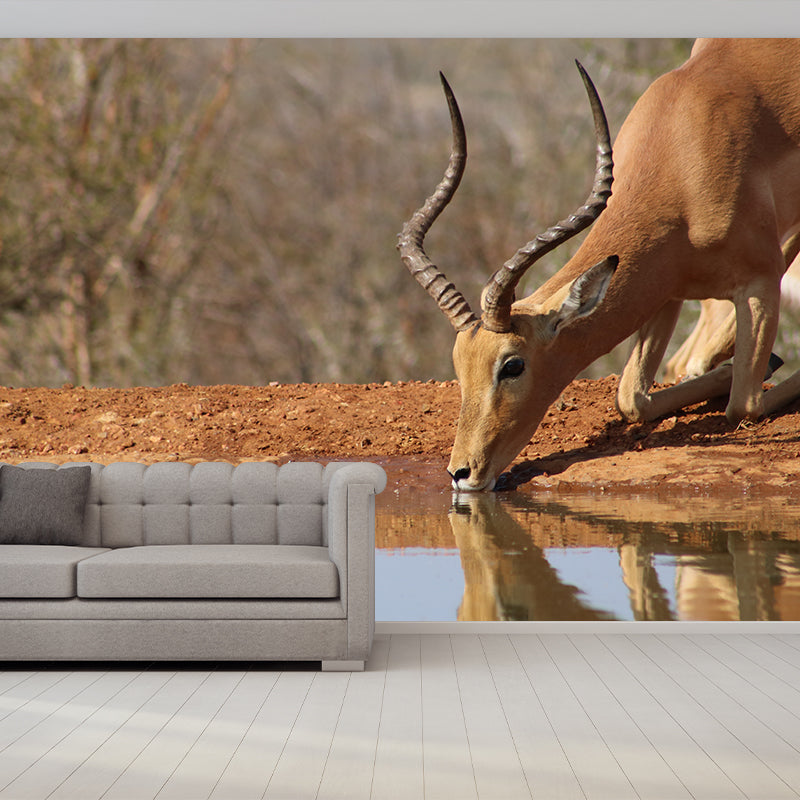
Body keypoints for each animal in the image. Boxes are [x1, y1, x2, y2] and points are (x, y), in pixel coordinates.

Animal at [398, 39, 800, 492]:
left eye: (513, 364)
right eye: (458, 364)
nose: (460, 473)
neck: (683, 155)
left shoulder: (761, 281)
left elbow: (743, 405)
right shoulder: (664, 286)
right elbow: (631, 399)